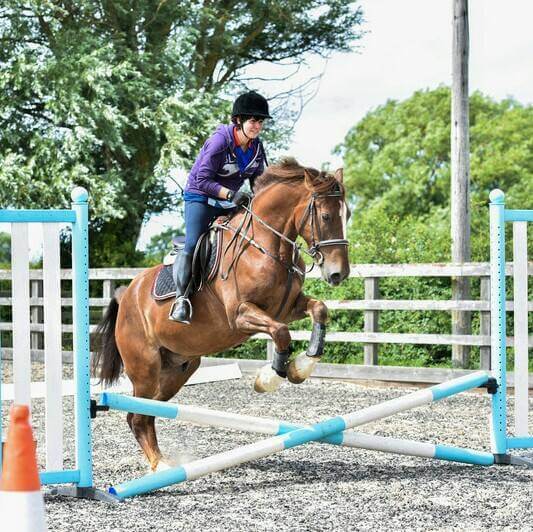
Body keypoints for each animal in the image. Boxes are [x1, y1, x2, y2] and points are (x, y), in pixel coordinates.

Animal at [93, 158, 352, 470]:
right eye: (325, 216)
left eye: (348, 214)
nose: (339, 274)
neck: (268, 245)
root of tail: (126, 296)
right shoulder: (240, 316)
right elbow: (280, 332)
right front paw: (270, 378)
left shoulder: (288, 308)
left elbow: (319, 309)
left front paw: (302, 365)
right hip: (145, 368)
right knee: (139, 416)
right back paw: (161, 465)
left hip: (178, 369)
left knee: (144, 413)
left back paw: (162, 462)